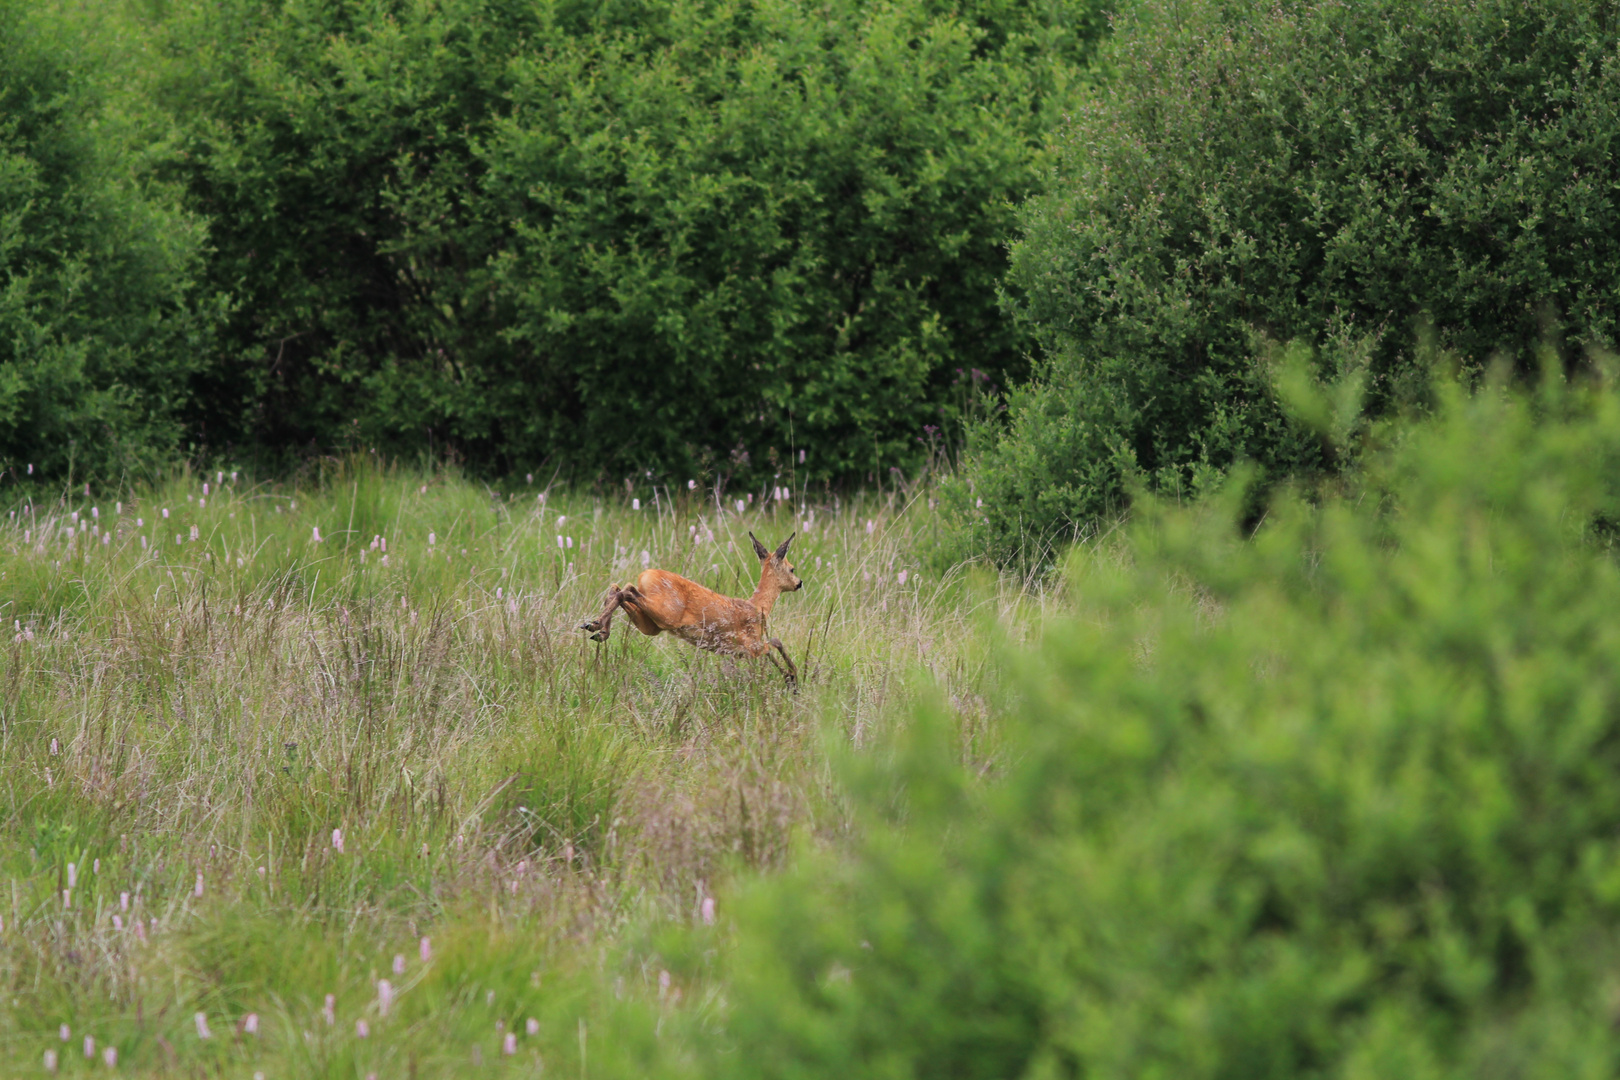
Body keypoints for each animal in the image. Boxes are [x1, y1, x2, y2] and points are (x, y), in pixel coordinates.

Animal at [583, 531, 810, 683]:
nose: (799, 582)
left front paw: (790, 676)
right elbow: (774, 643)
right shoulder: (749, 644)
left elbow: (773, 645)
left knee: (618, 588)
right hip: (666, 612)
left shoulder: (739, 650)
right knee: (626, 590)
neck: (759, 607)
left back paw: (597, 628)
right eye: (792, 568)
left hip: (651, 625)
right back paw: (597, 626)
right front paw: (792, 675)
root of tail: (646, 575)